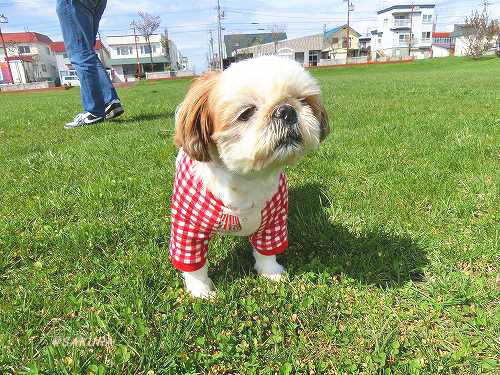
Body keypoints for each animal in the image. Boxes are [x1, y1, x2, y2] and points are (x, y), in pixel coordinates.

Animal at [170, 55, 330, 298]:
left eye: (303, 101)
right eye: (246, 113)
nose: (286, 111)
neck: (246, 178)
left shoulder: (273, 222)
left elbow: (266, 251)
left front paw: (271, 272)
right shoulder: (188, 228)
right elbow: (193, 264)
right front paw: (201, 290)